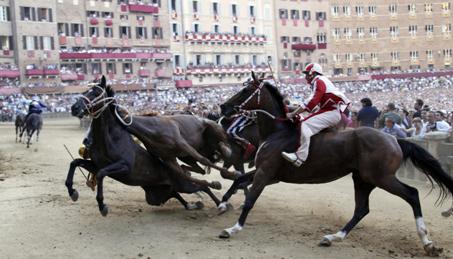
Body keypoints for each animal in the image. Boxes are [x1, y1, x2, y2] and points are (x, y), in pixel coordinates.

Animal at [66, 76, 221, 216]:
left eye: (95, 93)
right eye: (85, 91)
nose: (74, 108)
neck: (110, 140)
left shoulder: (124, 166)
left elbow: (100, 174)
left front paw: (102, 205)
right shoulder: (96, 164)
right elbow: (75, 163)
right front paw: (72, 191)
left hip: (183, 184)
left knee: (202, 186)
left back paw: (219, 202)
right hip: (156, 195)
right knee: (176, 194)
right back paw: (193, 205)